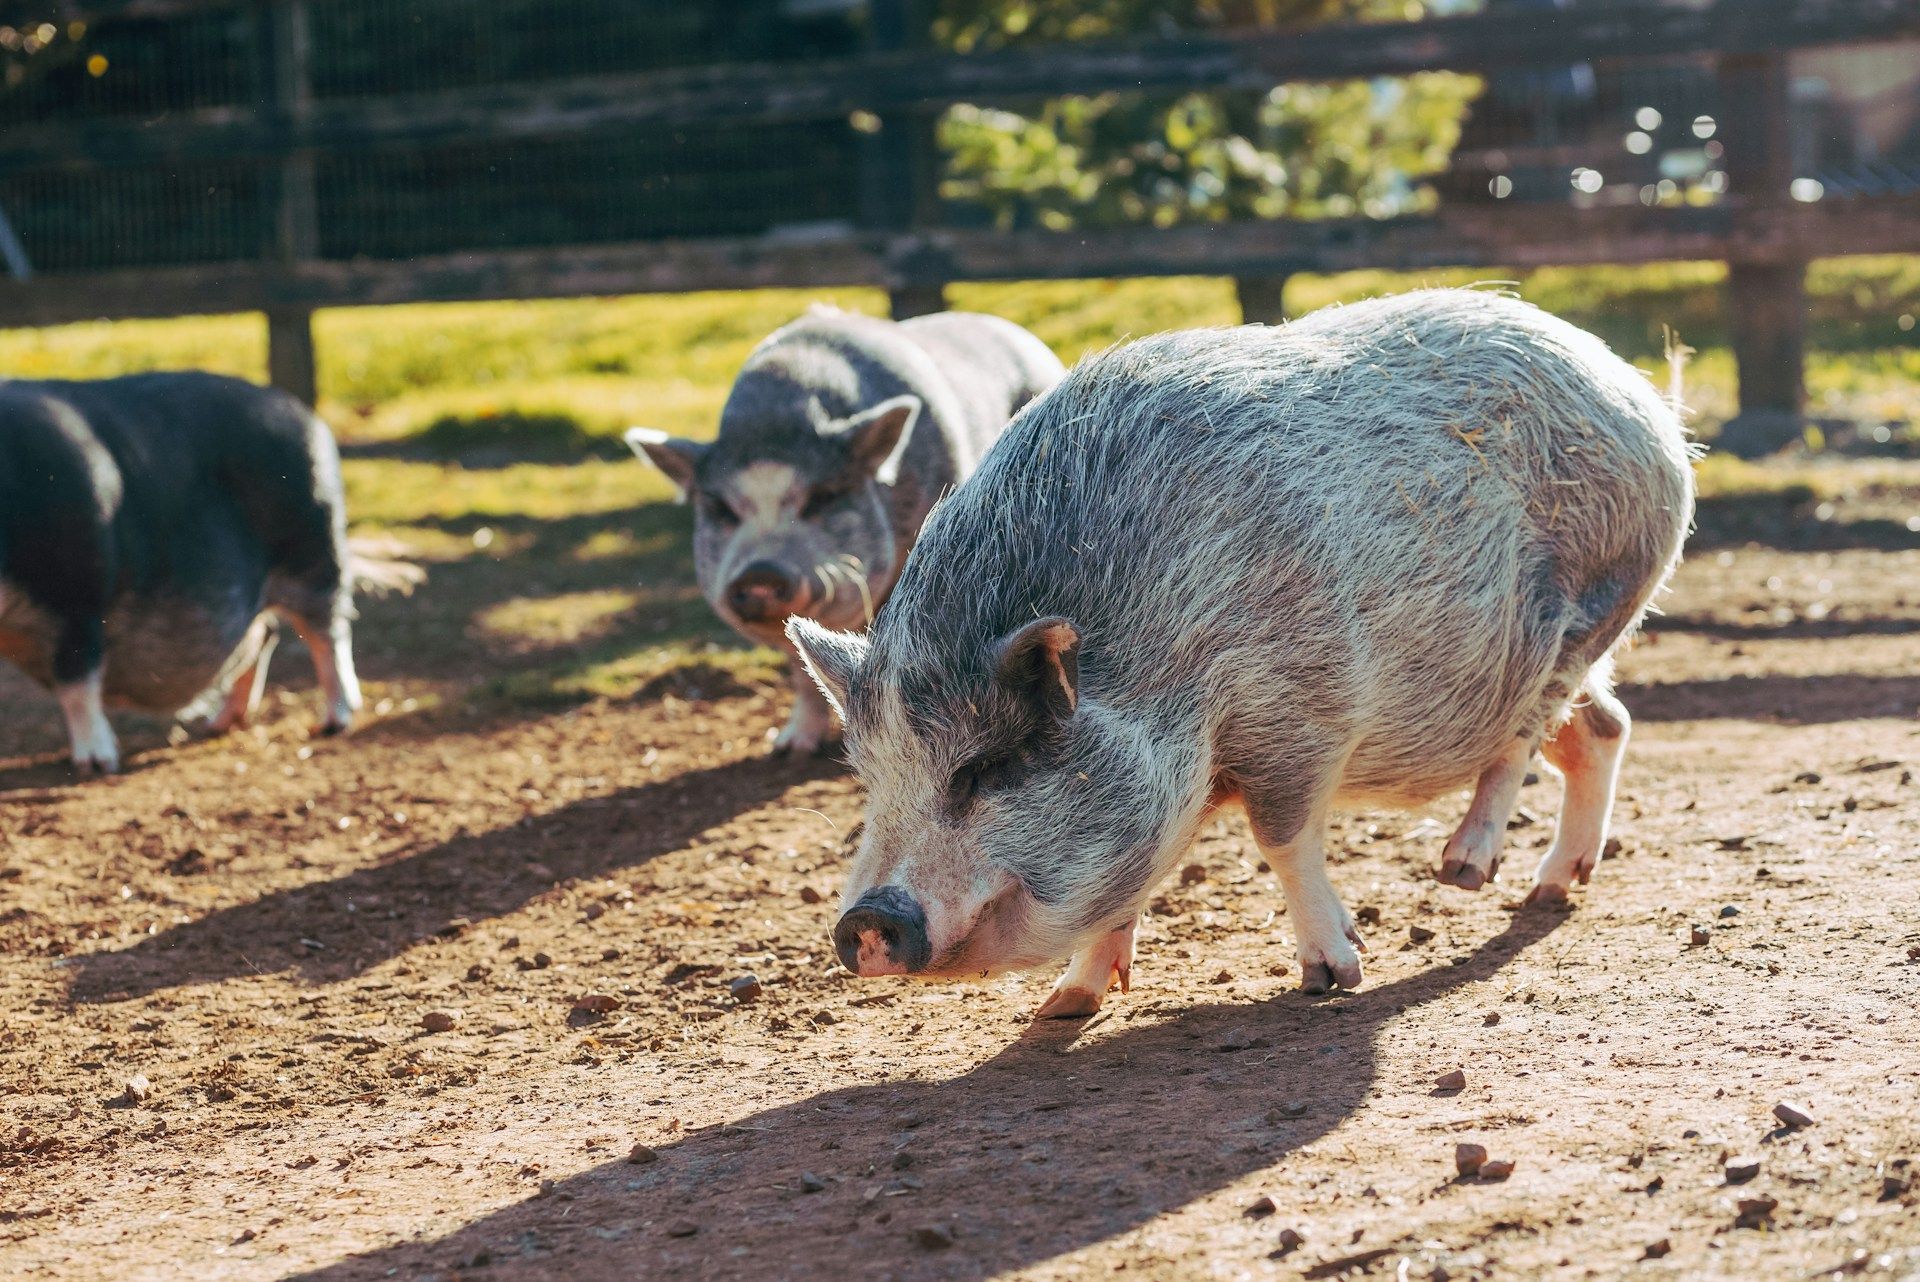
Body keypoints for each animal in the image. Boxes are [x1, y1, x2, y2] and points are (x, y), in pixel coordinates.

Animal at [0, 370, 412, 771]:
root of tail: (309, 418)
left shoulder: (79, 593)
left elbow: (77, 684)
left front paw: (98, 765)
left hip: (315, 550)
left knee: (329, 634)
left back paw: (331, 724)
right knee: (264, 634)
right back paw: (219, 724)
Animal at [794, 287, 1697, 1013]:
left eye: (985, 769)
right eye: (871, 780)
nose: (864, 921)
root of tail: (1636, 392)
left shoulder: (1304, 714)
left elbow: (1282, 840)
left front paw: (1333, 977)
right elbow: (1124, 887)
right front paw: (1062, 1008)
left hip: (1601, 590)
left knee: (1527, 734)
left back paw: (1463, 869)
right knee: (1603, 728)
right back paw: (1551, 889)